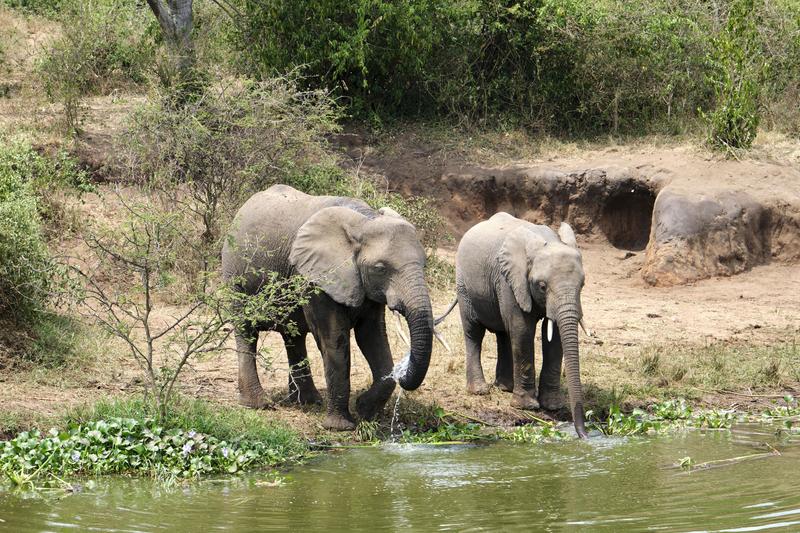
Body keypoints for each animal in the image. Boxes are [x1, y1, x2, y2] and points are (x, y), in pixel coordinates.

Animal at [222, 183, 434, 428]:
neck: (365, 221)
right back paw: (258, 404)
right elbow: (333, 338)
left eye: (424, 264)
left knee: (293, 337)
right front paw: (341, 427)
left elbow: (372, 336)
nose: (403, 370)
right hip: (235, 273)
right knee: (246, 331)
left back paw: (308, 401)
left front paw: (364, 410)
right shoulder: (315, 277)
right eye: (380, 268)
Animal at [454, 212, 592, 436]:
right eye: (542, 286)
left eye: (582, 284)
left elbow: (553, 338)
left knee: (503, 333)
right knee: (474, 332)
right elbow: (522, 330)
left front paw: (552, 406)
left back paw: (505, 387)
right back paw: (480, 390)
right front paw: (527, 407)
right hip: (464, 284)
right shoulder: (510, 280)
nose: (584, 434)